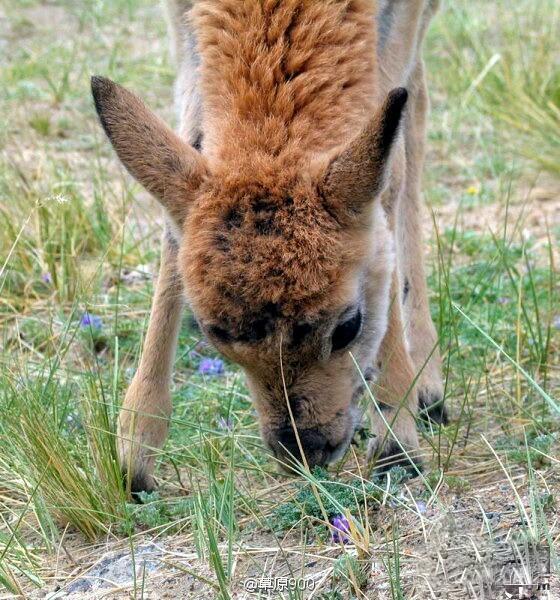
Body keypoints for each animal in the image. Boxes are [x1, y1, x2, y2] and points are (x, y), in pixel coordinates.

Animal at [94, 0, 448, 492]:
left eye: (348, 326)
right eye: (212, 334)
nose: (304, 449)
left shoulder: (401, 16)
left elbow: (389, 178)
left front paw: (397, 442)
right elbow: (187, 156)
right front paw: (134, 452)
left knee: (412, 121)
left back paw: (428, 388)